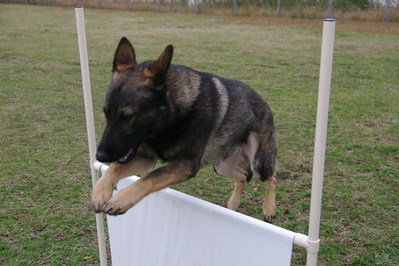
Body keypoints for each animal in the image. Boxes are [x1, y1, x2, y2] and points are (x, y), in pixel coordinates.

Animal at [91, 36, 278, 221]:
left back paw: (268, 208)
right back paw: (233, 204)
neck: (171, 118)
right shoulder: (145, 158)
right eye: (106, 113)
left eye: (128, 117)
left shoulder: (186, 165)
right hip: (222, 166)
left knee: (272, 178)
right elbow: (115, 168)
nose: (100, 156)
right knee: (243, 177)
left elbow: (150, 177)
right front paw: (99, 192)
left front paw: (121, 200)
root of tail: (264, 103)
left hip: (259, 164)